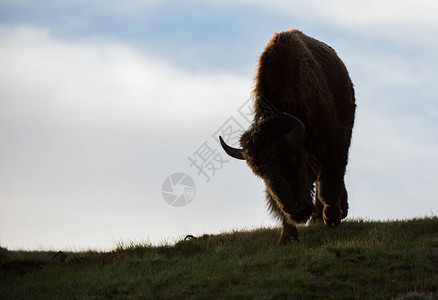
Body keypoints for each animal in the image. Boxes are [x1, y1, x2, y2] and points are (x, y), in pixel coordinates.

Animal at [219, 28, 356, 244]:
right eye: (261, 172)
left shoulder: (332, 143)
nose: (297, 211)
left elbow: (328, 182)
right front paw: (287, 237)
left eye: (292, 158)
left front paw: (332, 218)